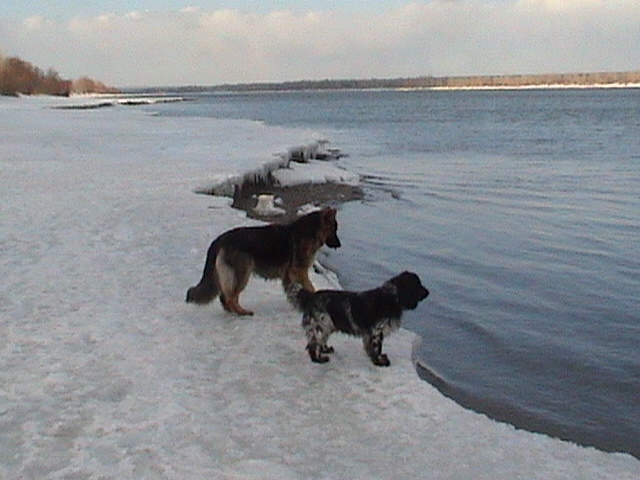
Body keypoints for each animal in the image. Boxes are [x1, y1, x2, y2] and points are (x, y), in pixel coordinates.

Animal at [185, 206, 340, 316]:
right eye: (334, 230)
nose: (339, 245)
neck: (311, 231)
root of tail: (219, 240)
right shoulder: (299, 272)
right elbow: (310, 287)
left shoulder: (289, 276)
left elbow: (294, 291)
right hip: (243, 273)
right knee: (230, 296)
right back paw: (241, 312)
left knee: (225, 296)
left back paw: (232, 311)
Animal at [286, 270, 428, 368]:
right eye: (418, 285)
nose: (428, 292)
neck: (392, 297)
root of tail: (311, 297)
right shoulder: (376, 332)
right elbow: (376, 348)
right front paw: (379, 361)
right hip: (320, 326)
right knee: (312, 345)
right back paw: (318, 359)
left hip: (327, 326)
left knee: (320, 342)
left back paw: (325, 350)